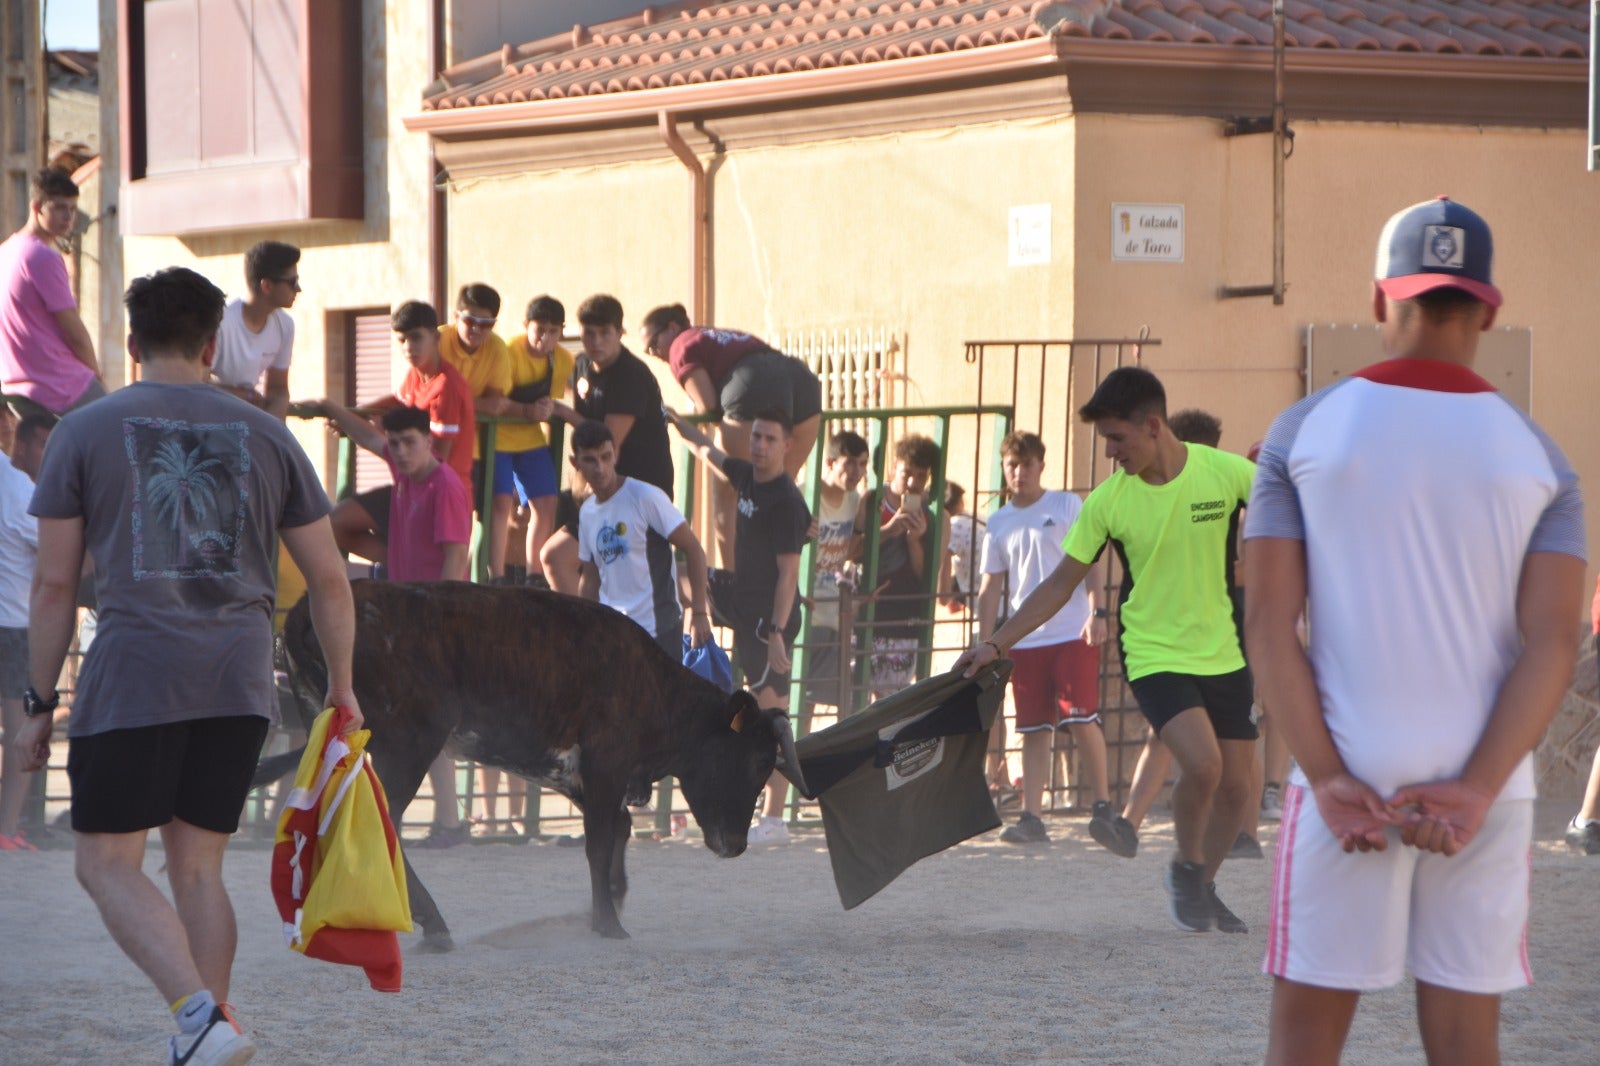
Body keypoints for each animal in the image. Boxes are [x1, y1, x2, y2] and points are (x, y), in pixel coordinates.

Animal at [260, 576, 800, 947]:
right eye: (758, 762)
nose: (736, 846)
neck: (653, 686)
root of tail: (307, 610)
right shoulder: (605, 766)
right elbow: (600, 841)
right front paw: (608, 922)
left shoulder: (581, 775)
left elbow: (619, 830)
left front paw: (610, 900)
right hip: (409, 744)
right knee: (381, 820)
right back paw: (431, 924)